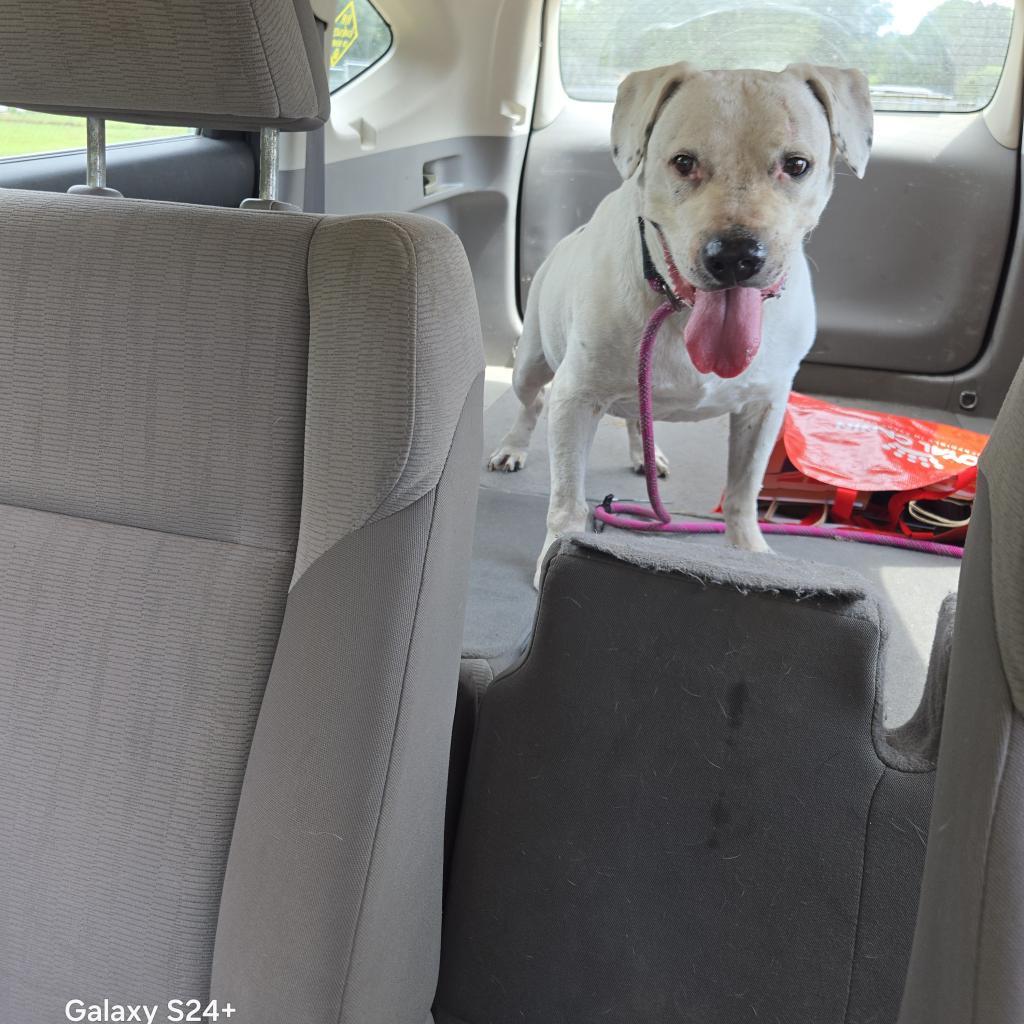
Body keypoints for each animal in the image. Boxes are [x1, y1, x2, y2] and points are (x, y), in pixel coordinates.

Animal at [487, 64, 872, 589]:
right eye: (683, 162)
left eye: (796, 165)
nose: (735, 256)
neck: (677, 306)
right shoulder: (576, 397)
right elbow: (567, 496)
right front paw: (557, 550)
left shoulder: (764, 408)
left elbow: (743, 490)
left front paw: (749, 553)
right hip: (531, 364)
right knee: (532, 402)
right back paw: (512, 448)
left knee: (637, 416)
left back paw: (643, 455)